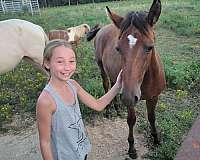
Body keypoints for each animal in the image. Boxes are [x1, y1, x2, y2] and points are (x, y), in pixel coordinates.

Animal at [87, 0, 166, 159]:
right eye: (118, 48)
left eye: (150, 47)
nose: (128, 97)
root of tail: (103, 28)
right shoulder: (130, 99)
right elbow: (131, 120)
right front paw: (132, 148)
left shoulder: (154, 97)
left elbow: (152, 117)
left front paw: (156, 139)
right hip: (101, 67)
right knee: (106, 85)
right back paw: (108, 111)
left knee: (112, 85)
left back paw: (117, 109)